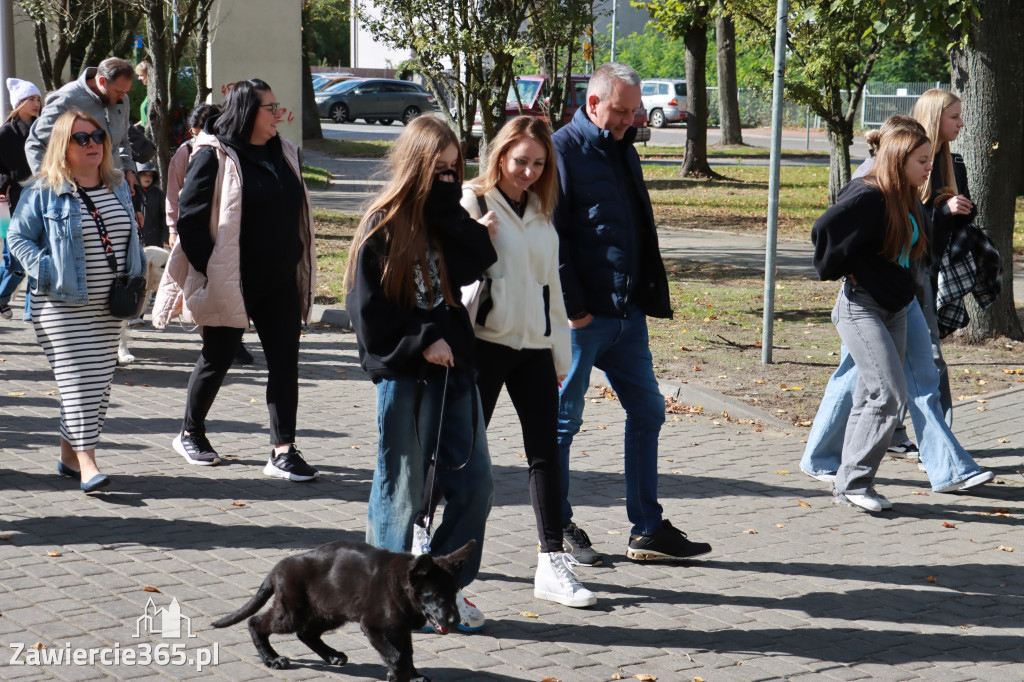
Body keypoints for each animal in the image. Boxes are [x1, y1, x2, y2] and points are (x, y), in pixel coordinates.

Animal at [214, 540, 477, 675]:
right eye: (434, 596)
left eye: (454, 594)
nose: (453, 621)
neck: (402, 587)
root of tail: (276, 569)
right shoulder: (372, 627)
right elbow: (397, 655)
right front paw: (397, 675)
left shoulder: (401, 629)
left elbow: (407, 653)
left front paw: (414, 676)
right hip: (292, 613)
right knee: (256, 623)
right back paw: (272, 659)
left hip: (330, 610)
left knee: (306, 632)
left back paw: (331, 655)